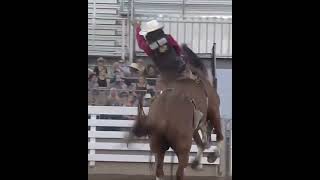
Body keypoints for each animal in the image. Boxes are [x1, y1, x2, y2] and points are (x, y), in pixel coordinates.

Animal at [127, 44, 222, 179]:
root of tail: (163, 119)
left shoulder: (195, 127)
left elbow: (200, 143)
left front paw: (197, 163)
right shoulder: (214, 111)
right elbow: (219, 136)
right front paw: (212, 156)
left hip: (158, 147)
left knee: (159, 171)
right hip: (183, 149)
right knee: (179, 172)